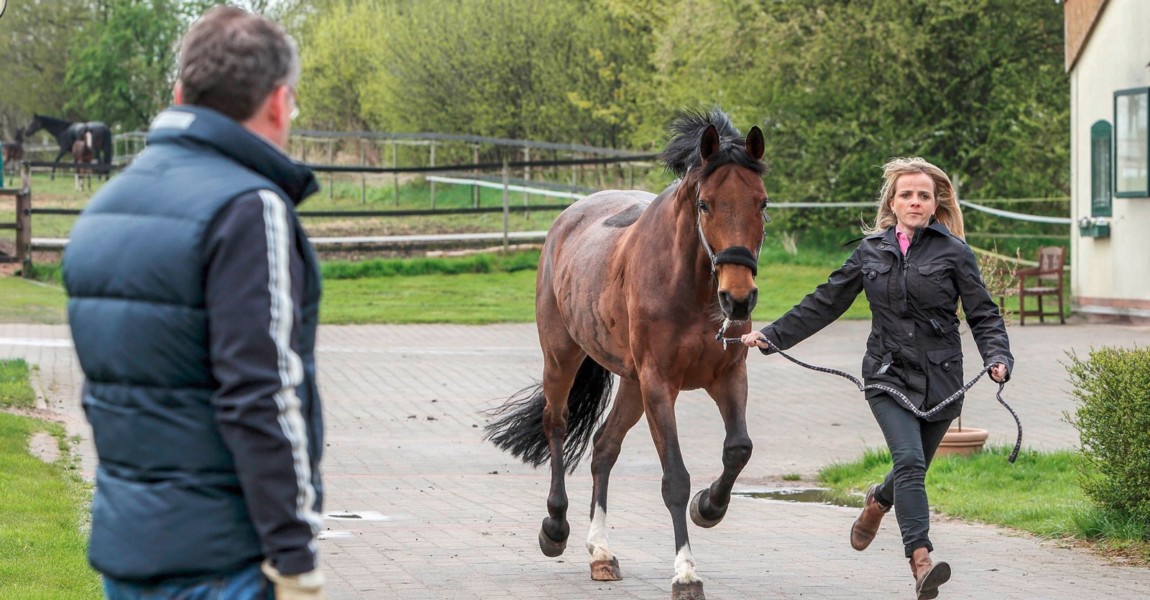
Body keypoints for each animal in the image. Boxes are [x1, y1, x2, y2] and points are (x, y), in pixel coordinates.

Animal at [480, 108, 768, 597]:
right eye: (705, 204)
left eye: (762, 203)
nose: (738, 298)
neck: (690, 286)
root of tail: (567, 219)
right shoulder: (659, 386)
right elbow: (674, 478)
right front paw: (685, 572)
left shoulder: (728, 376)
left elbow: (738, 449)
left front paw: (708, 506)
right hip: (563, 358)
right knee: (557, 426)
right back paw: (555, 528)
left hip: (632, 385)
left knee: (604, 446)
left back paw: (601, 553)